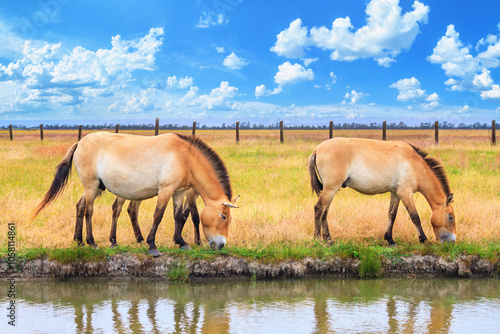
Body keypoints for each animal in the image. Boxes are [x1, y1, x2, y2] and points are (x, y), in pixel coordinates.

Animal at [33, 133, 238, 256]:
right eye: (223, 216)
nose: (221, 245)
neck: (185, 157)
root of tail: (80, 142)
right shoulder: (166, 190)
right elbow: (158, 216)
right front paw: (152, 246)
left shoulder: (179, 193)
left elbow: (178, 217)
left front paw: (181, 242)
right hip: (91, 186)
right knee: (89, 211)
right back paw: (91, 242)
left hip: (97, 187)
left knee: (80, 206)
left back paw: (79, 241)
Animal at [306, 138, 456, 245]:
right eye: (450, 217)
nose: (453, 241)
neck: (415, 165)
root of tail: (317, 149)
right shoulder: (405, 193)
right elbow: (415, 217)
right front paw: (423, 239)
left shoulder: (396, 193)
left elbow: (392, 215)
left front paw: (390, 239)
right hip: (330, 189)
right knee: (319, 208)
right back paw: (317, 238)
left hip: (331, 190)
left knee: (325, 211)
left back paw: (328, 239)